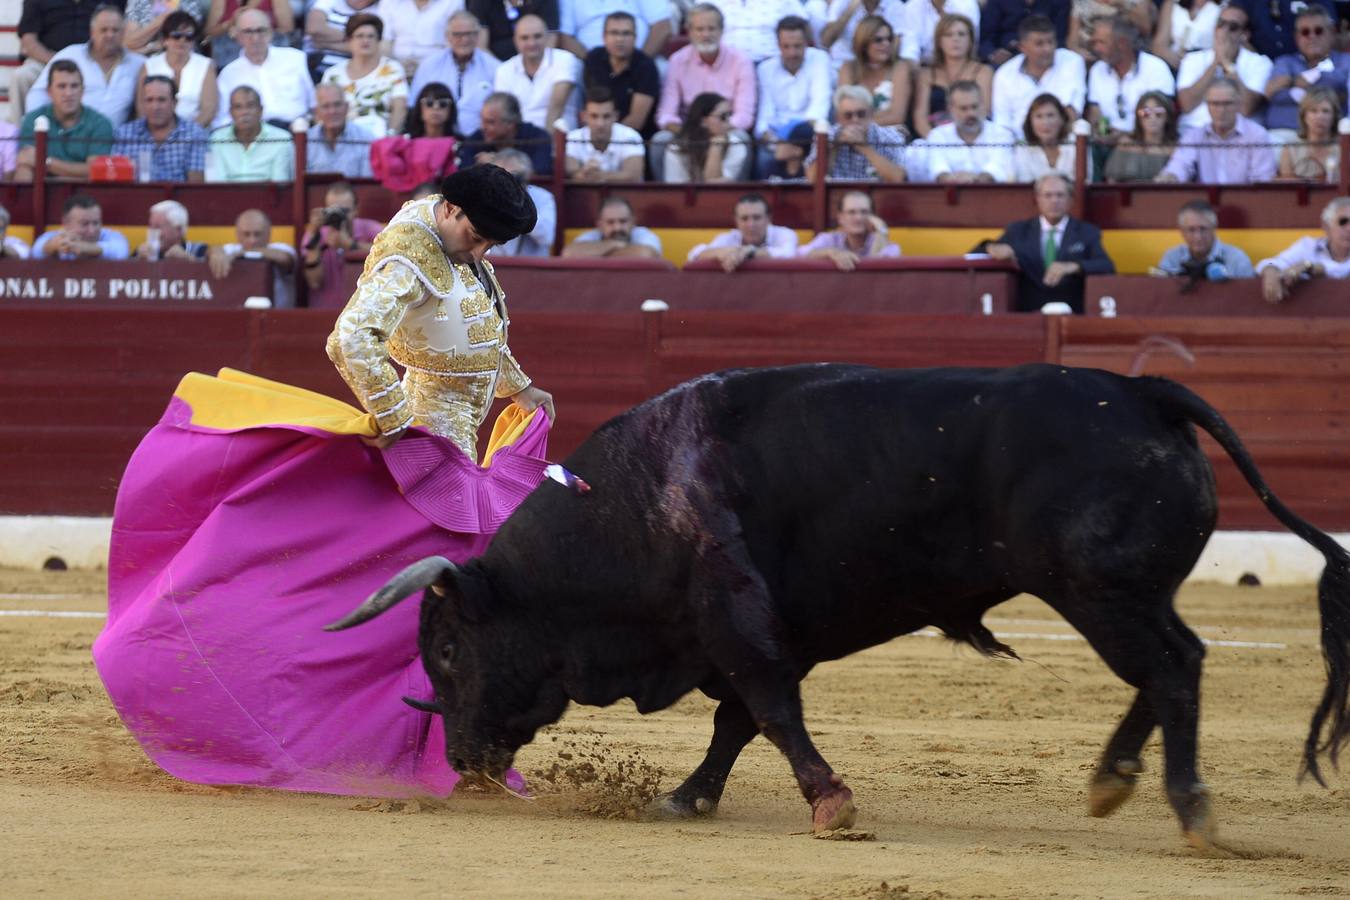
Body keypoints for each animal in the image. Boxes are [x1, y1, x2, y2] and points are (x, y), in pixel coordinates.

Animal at [329, 361, 1350, 847]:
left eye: (449, 652)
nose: (462, 759)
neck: (631, 502)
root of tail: (1143, 391)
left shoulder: (736, 618)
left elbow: (770, 711)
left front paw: (830, 804)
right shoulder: (762, 628)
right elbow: (738, 723)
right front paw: (687, 798)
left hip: (1097, 589)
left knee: (1173, 667)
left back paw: (1189, 808)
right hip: (1117, 592)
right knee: (1173, 665)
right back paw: (1112, 780)